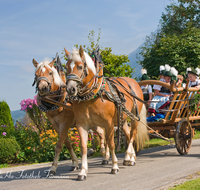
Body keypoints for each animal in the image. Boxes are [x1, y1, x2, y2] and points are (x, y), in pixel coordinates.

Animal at [64, 46, 148, 181]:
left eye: (80, 66)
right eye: (66, 67)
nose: (70, 89)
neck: (92, 96)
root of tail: (134, 83)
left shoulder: (108, 124)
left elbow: (111, 144)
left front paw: (114, 166)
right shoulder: (81, 125)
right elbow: (83, 147)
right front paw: (82, 171)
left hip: (134, 117)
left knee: (132, 135)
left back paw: (129, 157)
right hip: (123, 118)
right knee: (128, 134)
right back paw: (130, 157)